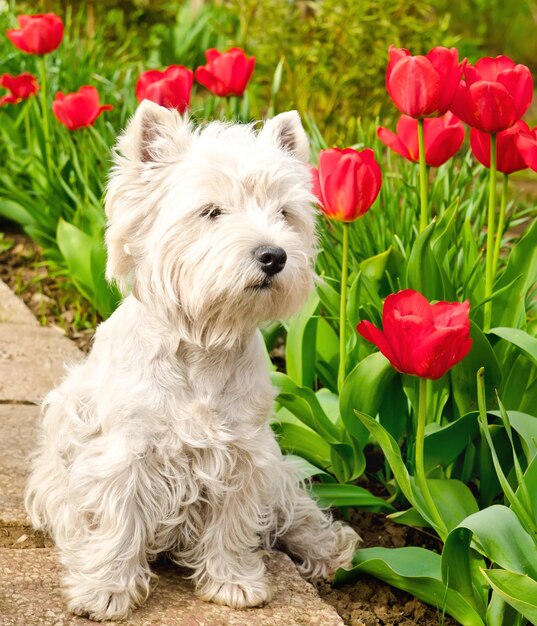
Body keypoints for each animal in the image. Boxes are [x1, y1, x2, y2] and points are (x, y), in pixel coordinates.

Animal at [25, 102, 360, 620]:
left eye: (284, 213)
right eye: (211, 212)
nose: (274, 255)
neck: (204, 344)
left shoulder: (244, 453)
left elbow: (233, 523)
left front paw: (233, 583)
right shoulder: (125, 454)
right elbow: (117, 521)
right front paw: (106, 591)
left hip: (278, 470)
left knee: (293, 508)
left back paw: (330, 550)